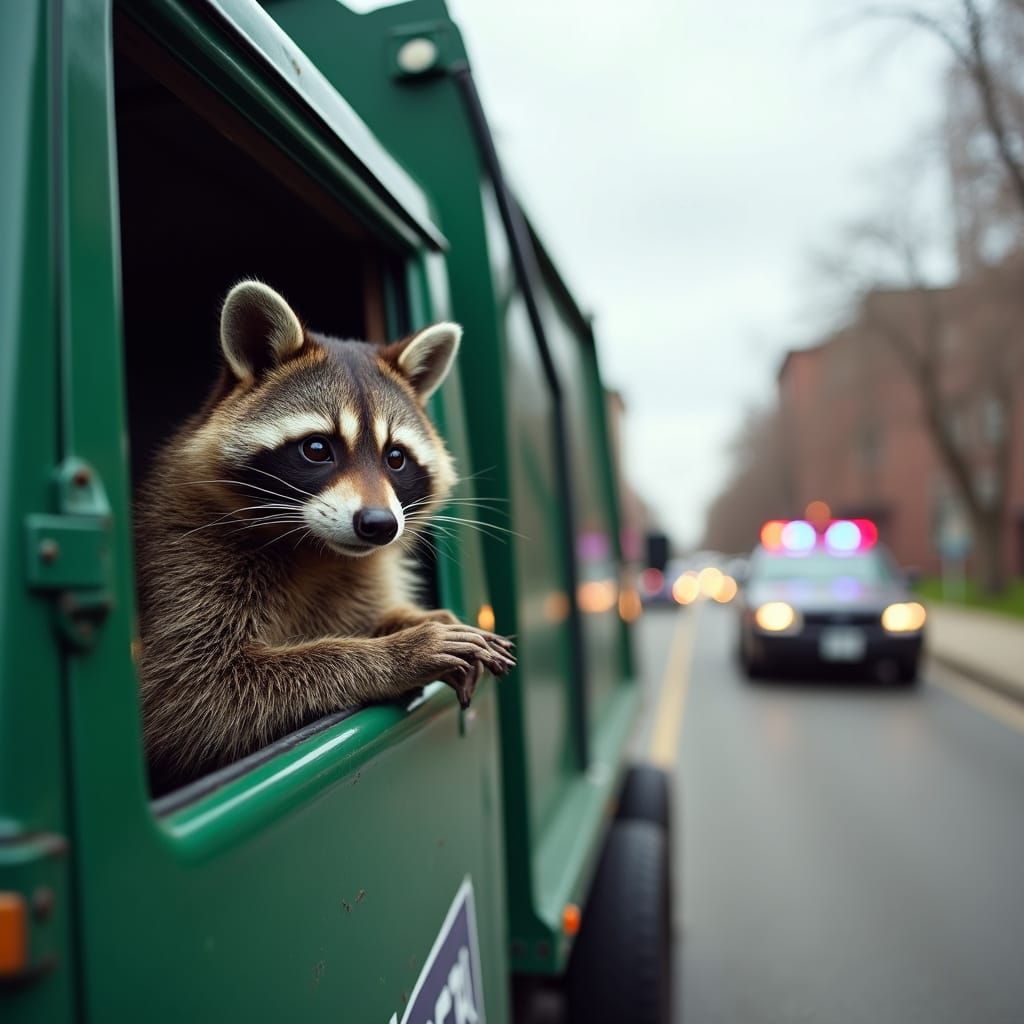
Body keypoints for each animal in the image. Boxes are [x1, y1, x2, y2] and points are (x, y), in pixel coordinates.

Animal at [135, 281, 515, 790]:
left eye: (396, 458)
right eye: (317, 448)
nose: (379, 525)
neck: (315, 547)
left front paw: (411, 620)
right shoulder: (186, 560)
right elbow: (198, 697)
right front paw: (399, 652)